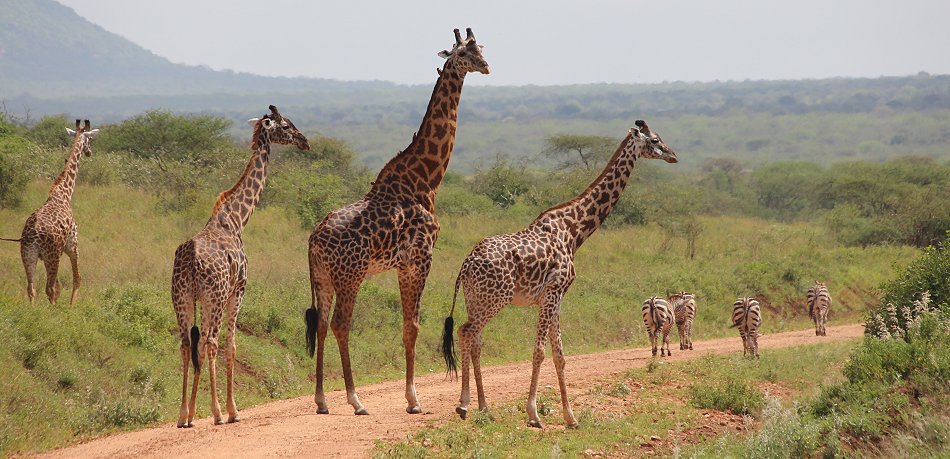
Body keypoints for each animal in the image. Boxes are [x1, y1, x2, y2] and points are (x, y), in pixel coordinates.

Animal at [169, 107, 306, 428]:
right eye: (285, 125)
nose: (304, 141)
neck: (237, 218)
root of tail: (191, 257)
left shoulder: (206, 298)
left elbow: (201, 347)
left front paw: (192, 412)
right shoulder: (239, 289)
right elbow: (232, 345)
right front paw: (232, 410)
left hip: (182, 297)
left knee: (187, 344)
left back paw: (182, 416)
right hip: (216, 297)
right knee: (211, 342)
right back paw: (219, 413)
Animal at [304, 27, 490, 416]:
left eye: (481, 48)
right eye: (463, 53)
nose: (486, 66)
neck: (426, 180)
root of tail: (313, 239)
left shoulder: (404, 265)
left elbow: (408, 325)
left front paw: (411, 396)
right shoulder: (419, 260)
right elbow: (412, 326)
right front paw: (413, 399)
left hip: (322, 278)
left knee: (323, 325)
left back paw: (322, 400)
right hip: (351, 275)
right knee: (341, 324)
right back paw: (355, 400)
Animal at [444, 120, 676, 430]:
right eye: (655, 140)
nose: (673, 155)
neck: (574, 231)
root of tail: (466, 263)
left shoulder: (556, 299)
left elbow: (560, 356)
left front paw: (571, 417)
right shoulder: (551, 293)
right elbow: (540, 352)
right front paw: (534, 414)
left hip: (476, 299)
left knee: (474, 338)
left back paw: (483, 408)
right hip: (495, 299)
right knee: (467, 332)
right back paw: (465, 404)